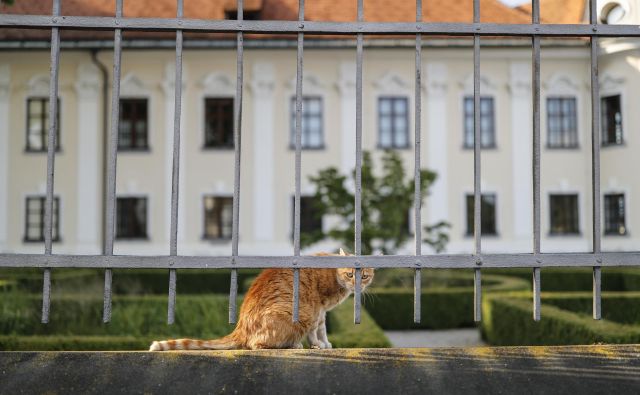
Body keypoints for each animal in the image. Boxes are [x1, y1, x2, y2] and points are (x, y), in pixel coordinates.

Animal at [149, 249, 376, 352]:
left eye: (364, 276)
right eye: (350, 274)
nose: (357, 284)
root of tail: (240, 327)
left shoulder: (321, 312)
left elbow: (322, 328)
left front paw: (326, 343)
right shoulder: (315, 309)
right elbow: (316, 330)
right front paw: (318, 344)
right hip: (298, 314)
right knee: (257, 345)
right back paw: (293, 345)